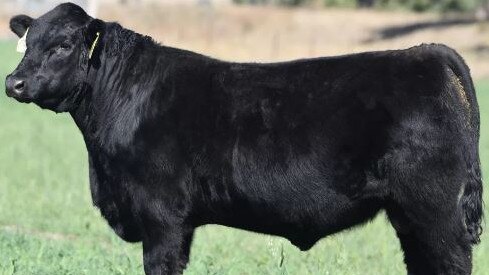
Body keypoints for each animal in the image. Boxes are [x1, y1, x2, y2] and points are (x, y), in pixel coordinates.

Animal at [3, 2, 482, 275]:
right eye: (28, 41)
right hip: (409, 215)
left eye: (63, 46)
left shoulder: (162, 216)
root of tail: (425, 52)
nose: (14, 83)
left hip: (435, 210)